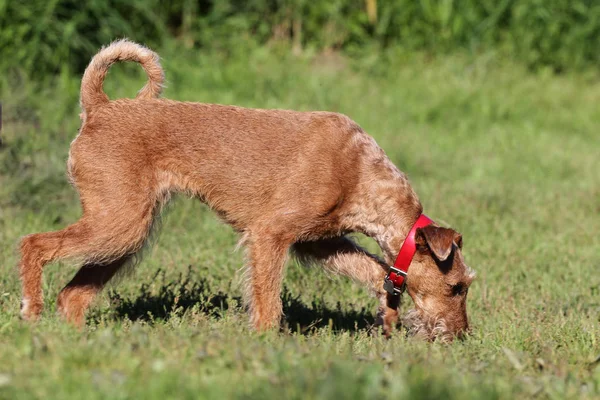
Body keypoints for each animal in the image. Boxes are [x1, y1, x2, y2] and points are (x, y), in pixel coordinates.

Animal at [17, 39, 474, 340]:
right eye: (458, 287)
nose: (462, 335)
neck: (358, 171)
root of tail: (99, 108)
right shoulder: (271, 235)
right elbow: (268, 299)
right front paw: (266, 344)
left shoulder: (319, 242)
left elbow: (375, 270)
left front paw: (387, 314)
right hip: (119, 223)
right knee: (33, 243)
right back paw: (31, 313)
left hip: (124, 233)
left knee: (73, 295)